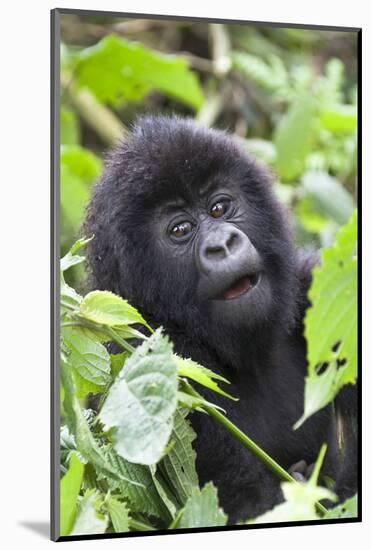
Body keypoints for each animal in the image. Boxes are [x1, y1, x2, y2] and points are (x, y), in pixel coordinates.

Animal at [84, 114, 358, 524]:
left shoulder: (317, 290)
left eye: (218, 208)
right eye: (181, 230)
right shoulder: (143, 353)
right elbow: (245, 504)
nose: (222, 245)